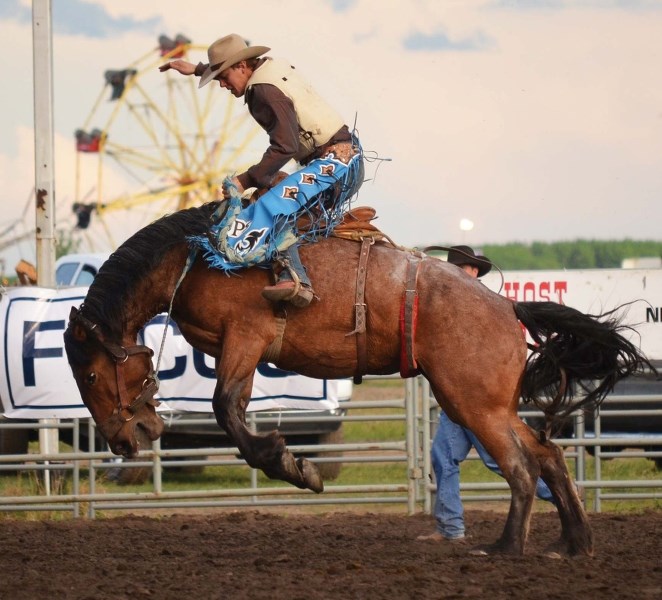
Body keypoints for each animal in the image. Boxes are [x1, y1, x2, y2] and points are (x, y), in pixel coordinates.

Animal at [65, 203, 652, 556]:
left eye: (90, 372)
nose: (123, 441)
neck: (195, 258)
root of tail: (509, 308)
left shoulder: (246, 337)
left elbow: (227, 409)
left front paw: (295, 466)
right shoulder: (241, 349)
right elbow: (234, 408)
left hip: (475, 405)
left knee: (522, 466)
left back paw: (505, 548)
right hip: (489, 405)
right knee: (547, 454)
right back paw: (573, 542)